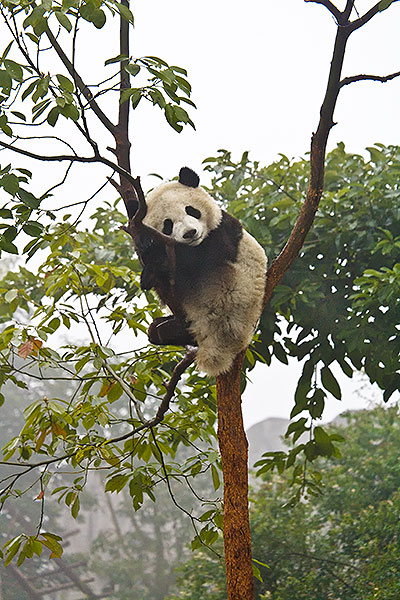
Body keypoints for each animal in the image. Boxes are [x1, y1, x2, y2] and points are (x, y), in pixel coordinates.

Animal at [133, 168, 268, 376]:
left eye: (191, 210)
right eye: (168, 224)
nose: (190, 233)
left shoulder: (224, 229)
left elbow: (211, 253)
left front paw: (156, 257)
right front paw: (148, 256)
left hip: (229, 292)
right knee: (156, 330)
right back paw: (162, 329)